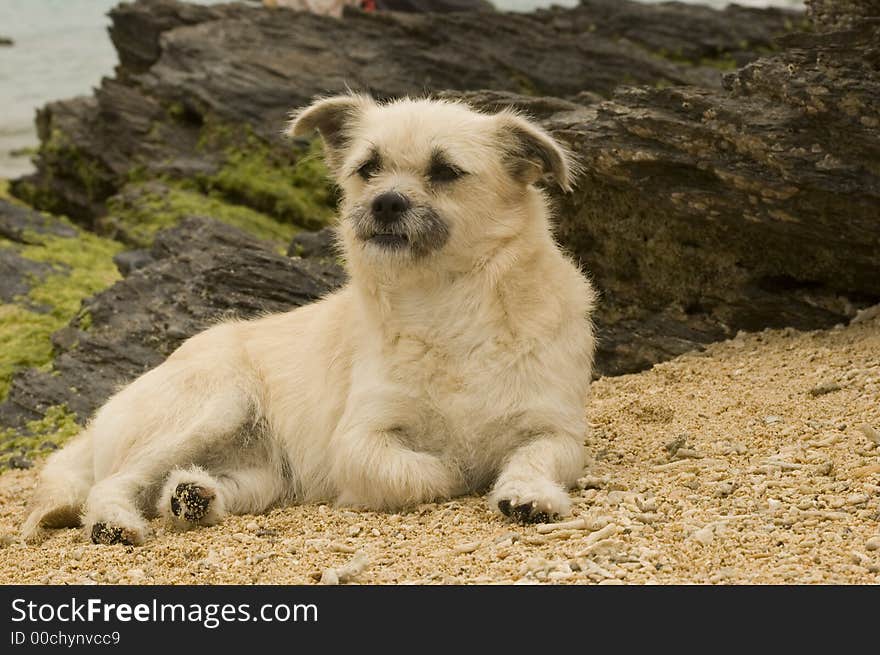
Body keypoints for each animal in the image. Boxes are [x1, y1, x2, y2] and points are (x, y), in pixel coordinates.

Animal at [22, 95, 600, 544]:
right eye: (368, 168)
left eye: (445, 171)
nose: (385, 203)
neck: (445, 304)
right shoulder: (360, 441)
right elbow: (425, 471)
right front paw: (462, 469)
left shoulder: (558, 431)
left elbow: (534, 458)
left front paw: (527, 493)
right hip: (217, 403)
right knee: (114, 483)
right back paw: (115, 523)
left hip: (260, 474)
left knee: (188, 489)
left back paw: (193, 497)